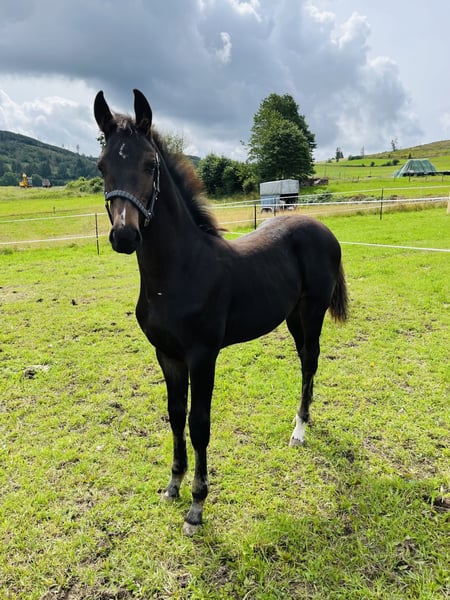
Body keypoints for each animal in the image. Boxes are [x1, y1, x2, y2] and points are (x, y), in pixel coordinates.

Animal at [94, 89, 348, 535]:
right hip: (292, 315)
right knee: (305, 358)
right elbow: (175, 415)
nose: (125, 236)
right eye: (102, 165)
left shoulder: (202, 355)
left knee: (310, 360)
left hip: (313, 309)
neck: (178, 272)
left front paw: (197, 507)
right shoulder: (167, 354)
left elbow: (199, 424)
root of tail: (323, 229)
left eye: (150, 164)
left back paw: (300, 429)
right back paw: (305, 419)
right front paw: (172, 486)